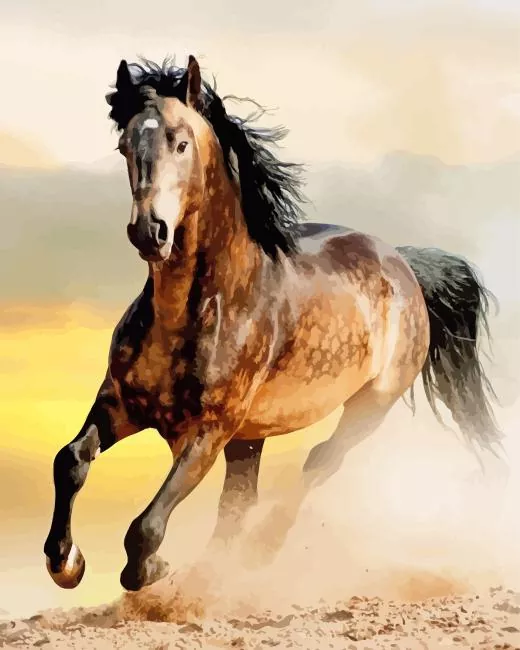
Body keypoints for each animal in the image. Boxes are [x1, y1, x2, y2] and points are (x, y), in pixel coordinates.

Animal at [43, 55, 501, 592]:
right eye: (124, 146)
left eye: (181, 142)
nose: (149, 231)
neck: (196, 311)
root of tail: (403, 263)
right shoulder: (120, 404)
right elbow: (71, 460)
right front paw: (65, 563)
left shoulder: (208, 432)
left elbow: (146, 526)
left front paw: (150, 569)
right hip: (251, 437)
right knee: (239, 503)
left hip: (370, 405)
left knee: (318, 462)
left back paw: (261, 551)